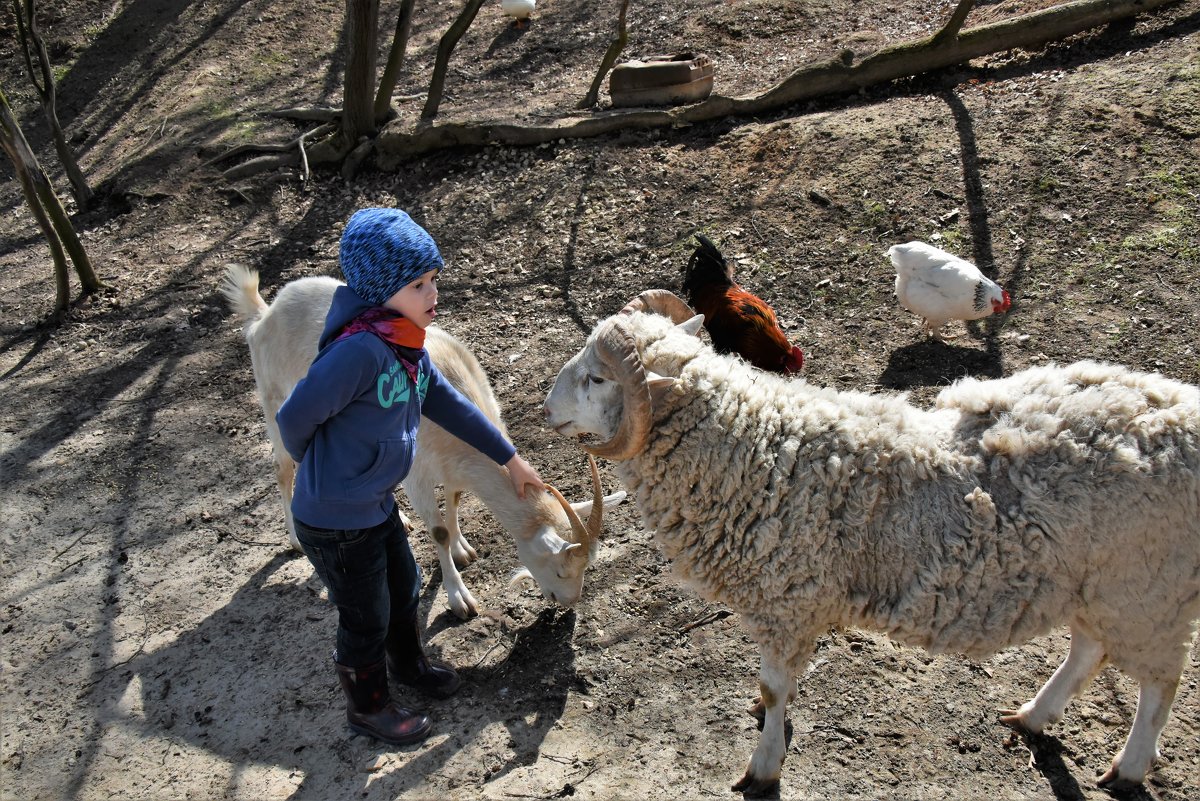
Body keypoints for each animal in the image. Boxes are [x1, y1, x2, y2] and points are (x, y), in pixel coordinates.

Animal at [219, 263, 624, 618]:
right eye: (560, 570)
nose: (568, 602)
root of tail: (264, 313)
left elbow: (455, 499)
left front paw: (463, 549)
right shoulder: (416, 473)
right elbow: (438, 530)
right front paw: (460, 598)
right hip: (274, 400)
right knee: (283, 467)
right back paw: (295, 539)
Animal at [544, 288, 1200, 796]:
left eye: (597, 377)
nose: (546, 408)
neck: (752, 448)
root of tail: (1183, 417)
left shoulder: (787, 601)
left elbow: (774, 688)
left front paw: (763, 764)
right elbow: (777, 690)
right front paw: (767, 720)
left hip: (1148, 590)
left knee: (1159, 682)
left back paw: (1129, 767)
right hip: (1102, 586)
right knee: (1090, 650)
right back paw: (1035, 717)